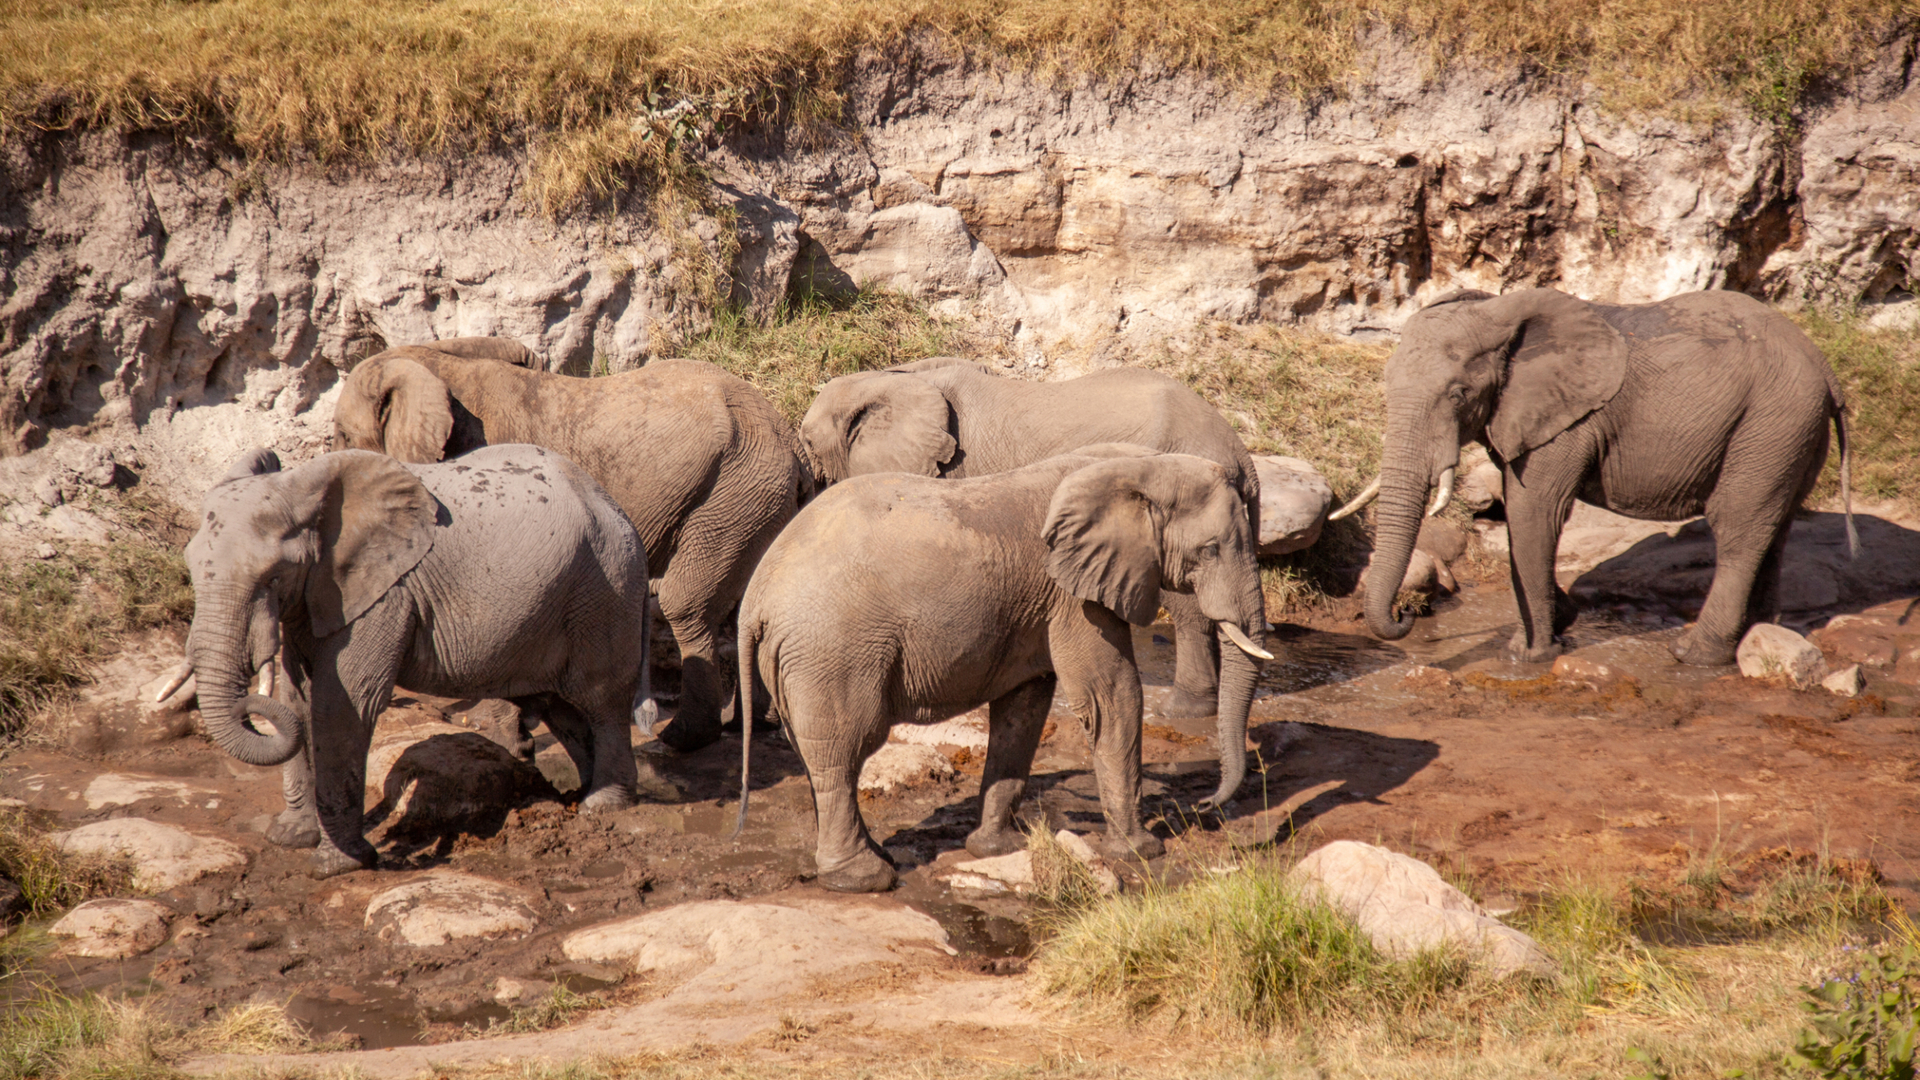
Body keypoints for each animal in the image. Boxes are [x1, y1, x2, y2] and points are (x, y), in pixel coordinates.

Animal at [167, 444, 652, 877]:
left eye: (272, 576)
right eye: (190, 566)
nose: (249, 696)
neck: (305, 488)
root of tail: (614, 504)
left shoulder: (385, 593)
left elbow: (340, 706)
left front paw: (336, 865)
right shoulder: (316, 595)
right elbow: (298, 699)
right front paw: (289, 837)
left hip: (605, 588)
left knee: (602, 700)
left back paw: (601, 805)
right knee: (562, 709)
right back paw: (582, 793)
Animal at [332, 342, 811, 752]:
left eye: (342, 436)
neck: (428, 365)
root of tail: (791, 440)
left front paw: (511, 739)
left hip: (735, 491)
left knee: (685, 604)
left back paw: (683, 738)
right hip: (754, 501)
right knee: (748, 602)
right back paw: (752, 724)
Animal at [734, 445, 1273, 893]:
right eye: (1211, 550)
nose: (1205, 806)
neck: (1139, 464)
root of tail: (754, 601)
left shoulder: (1043, 604)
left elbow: (1025, 708)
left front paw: (995, 849)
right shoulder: (1073, 597)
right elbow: (1111, 696)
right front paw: (1142, 851)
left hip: (800, 661)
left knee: (816, 754)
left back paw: (874, 858)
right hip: (832, 653)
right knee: (843, 750)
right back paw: (864, 879)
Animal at [799, 358, 1263, 807]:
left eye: (806, 444)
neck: (893, 377)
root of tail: (1241, 454)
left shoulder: (955, 471)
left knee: (1187, 603)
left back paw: (1183, 709)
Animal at [1336, 287, 1853, 665]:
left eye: (1458, 395)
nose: (1406, 614)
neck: (1498, 312)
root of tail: (1826, 368)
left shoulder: (1569, 421)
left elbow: (1532, 511)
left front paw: (1529, 655)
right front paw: (1563, 618)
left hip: (1772, 421)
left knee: (1738, 528)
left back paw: (1695, 654)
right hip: (1790, 433)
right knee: (1775, 525)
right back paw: (1759, 632)